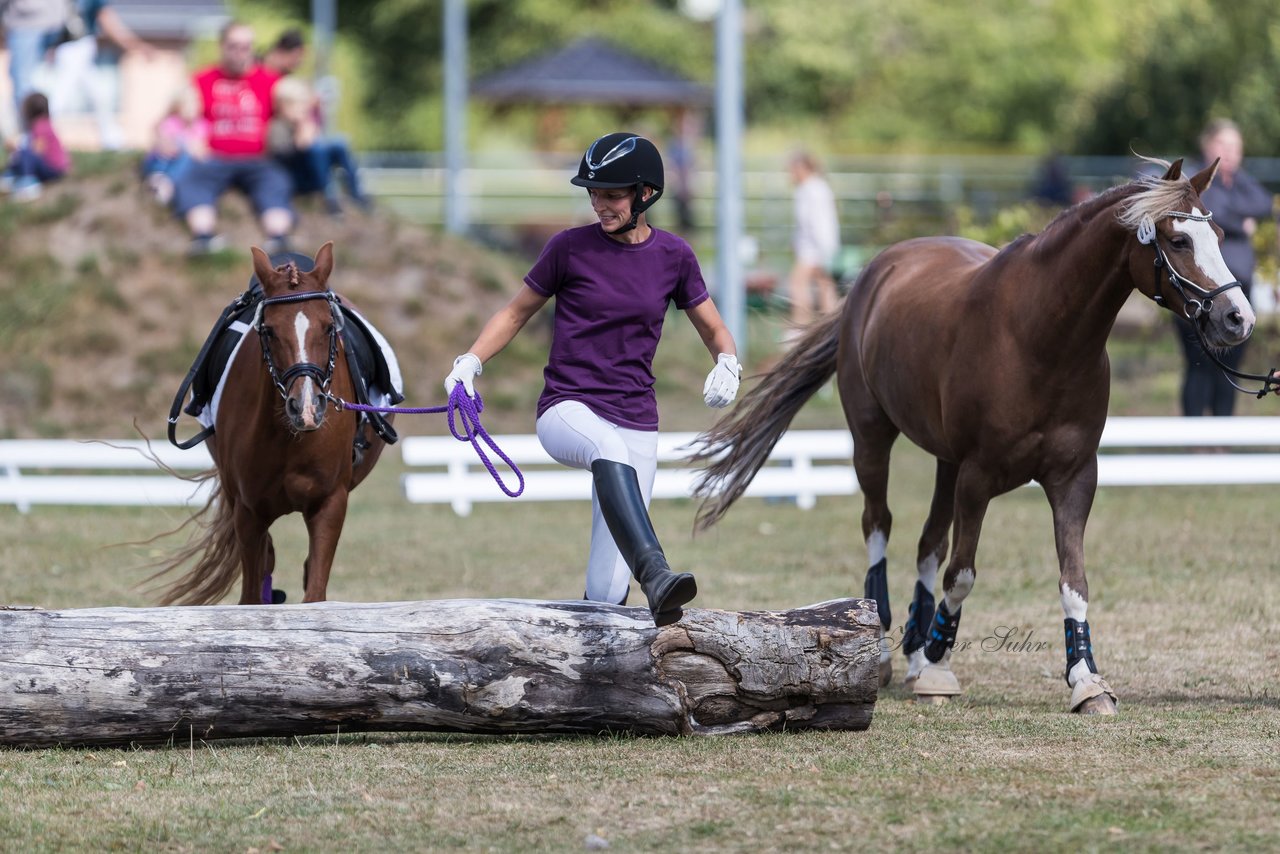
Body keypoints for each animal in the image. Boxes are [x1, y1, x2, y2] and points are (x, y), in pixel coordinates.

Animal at [151, 243, 389, 604]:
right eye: (270, 330)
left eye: (328, 327)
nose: (306, 408)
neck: (289, 438)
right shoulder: (248, 513)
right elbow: (251, 595)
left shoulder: (330, 504)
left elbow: (314, 592)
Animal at [696, 158, 1254, 717]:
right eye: (1178, 240)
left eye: (1222, 236)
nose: (1238, 319)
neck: (1041, 337)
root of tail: (875, 273)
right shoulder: (979, 476)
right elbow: (962, 574)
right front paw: (938, 665)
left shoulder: (1074, 477)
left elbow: (1072, 580)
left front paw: (1086, 681)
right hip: (873, 439)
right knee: (879, 525)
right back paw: (886, 649)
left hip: (947, 464)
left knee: (928, 544)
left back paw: (916, 649)